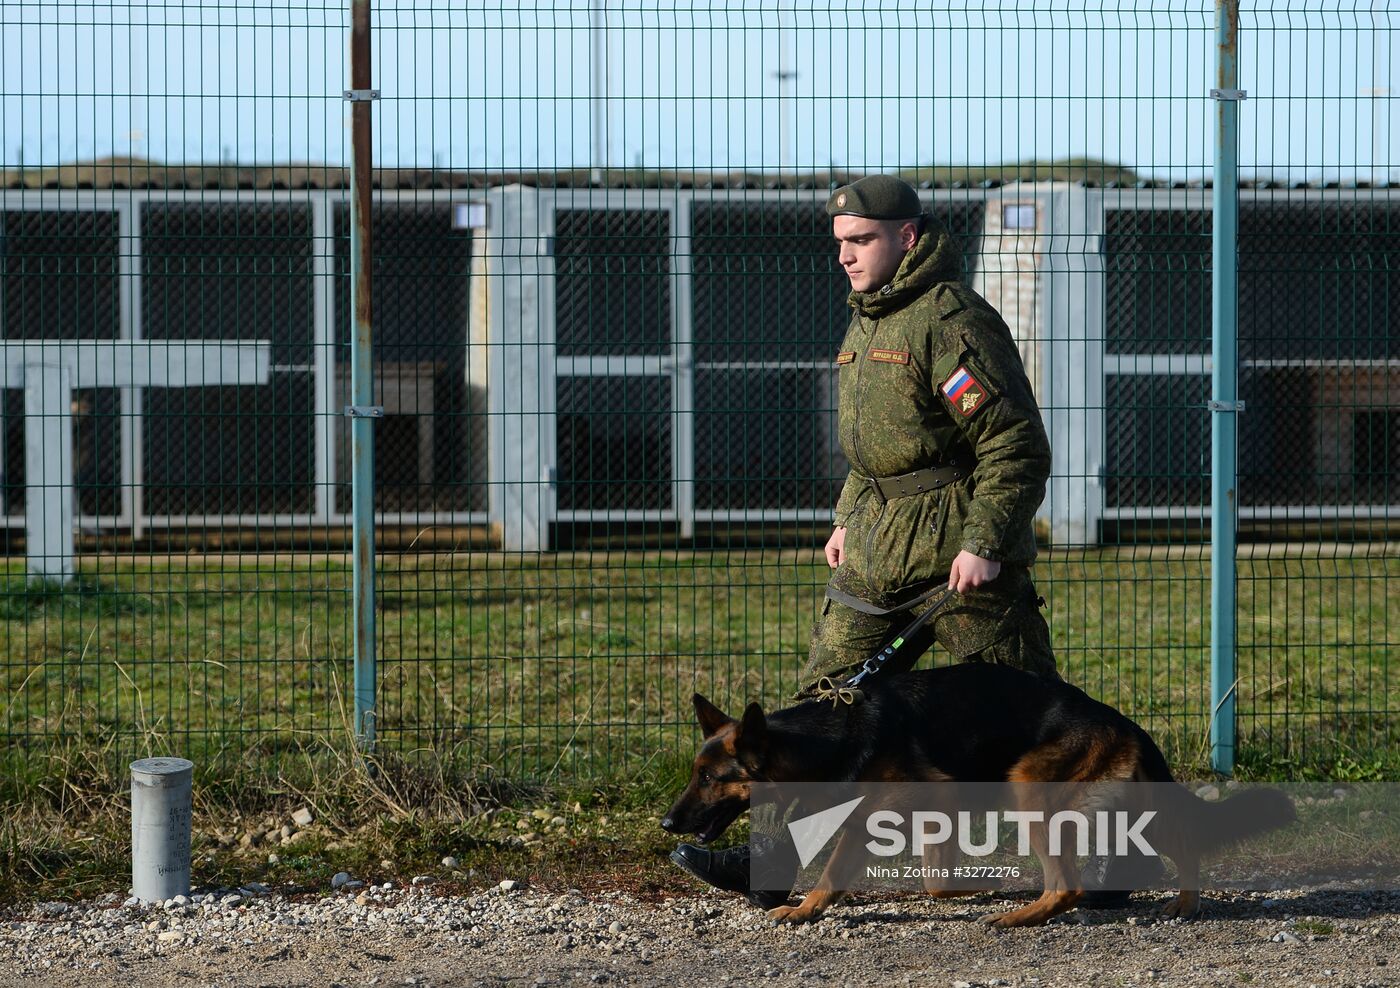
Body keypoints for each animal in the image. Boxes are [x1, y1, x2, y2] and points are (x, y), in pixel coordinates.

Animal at [660, 660, 1293, 923]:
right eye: (695, 773)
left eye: (710, 779)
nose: (667, 825)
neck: (826, 740)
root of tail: (1124, 722)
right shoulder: (925, 814)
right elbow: (937, 882)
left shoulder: (880, 816)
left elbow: (837, 872)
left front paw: (803, 910)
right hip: (1125, 804)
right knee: (1181, 844)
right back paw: (1183, 903)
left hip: (1031, 791)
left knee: (1067, 884)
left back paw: (1023, 916)